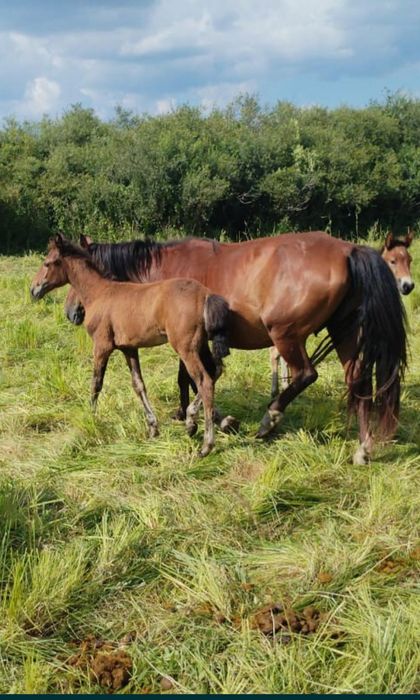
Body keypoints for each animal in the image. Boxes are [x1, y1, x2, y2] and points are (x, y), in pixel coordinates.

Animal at [30, 234, 231, 457]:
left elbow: (96, 383)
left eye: (47, 263)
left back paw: (204, 441)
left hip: (186, 347)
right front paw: (152, 427)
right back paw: (195, 422)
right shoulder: (129, 348)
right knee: (216, 371)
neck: (100, 293)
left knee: (204, 380)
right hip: (201, 344)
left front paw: (90, 417)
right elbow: (138, 385)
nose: (34, 289)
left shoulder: (101, 346)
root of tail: (205, 295)